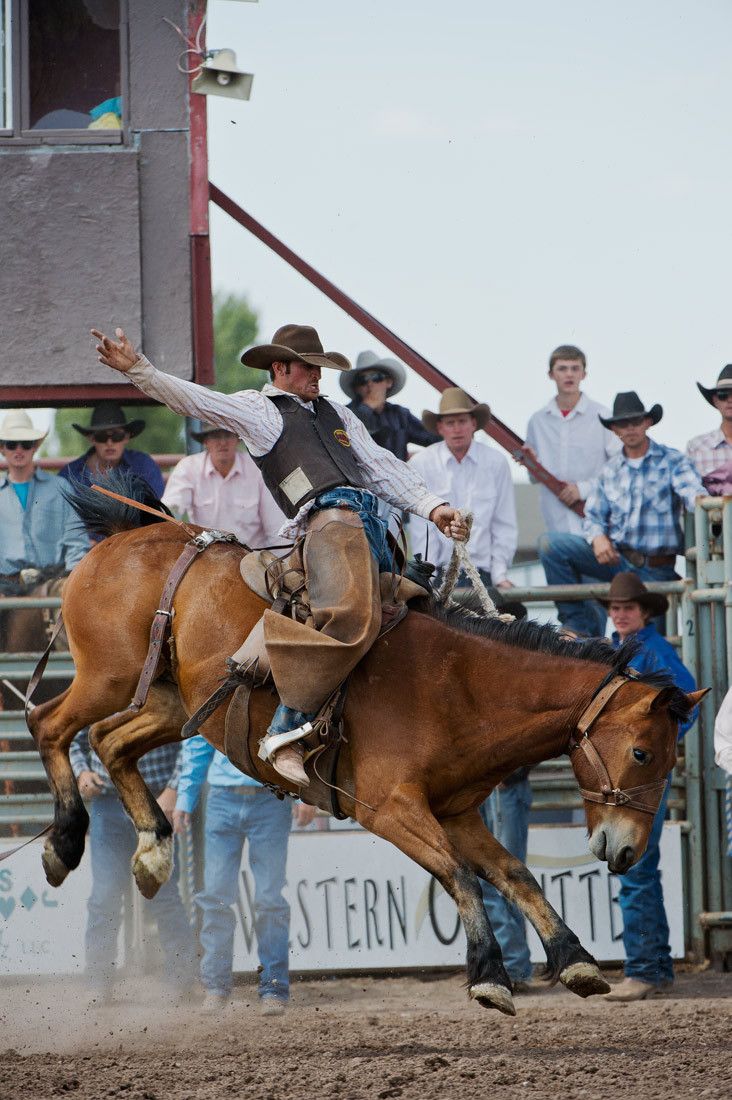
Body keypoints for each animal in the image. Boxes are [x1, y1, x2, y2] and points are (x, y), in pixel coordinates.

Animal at [28, 479, 704, 1017]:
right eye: (642, 753)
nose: (625, 851)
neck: (456, 684)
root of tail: (133, 537)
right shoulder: (389, 808)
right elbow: (460, 874)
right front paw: (489, 977)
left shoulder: (456, 812)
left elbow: (514, 872)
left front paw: (575, 958)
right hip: (107, 677)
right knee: (47, 724)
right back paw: (63, 844)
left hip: (175, 704)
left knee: (109, 741)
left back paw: (153, 852)